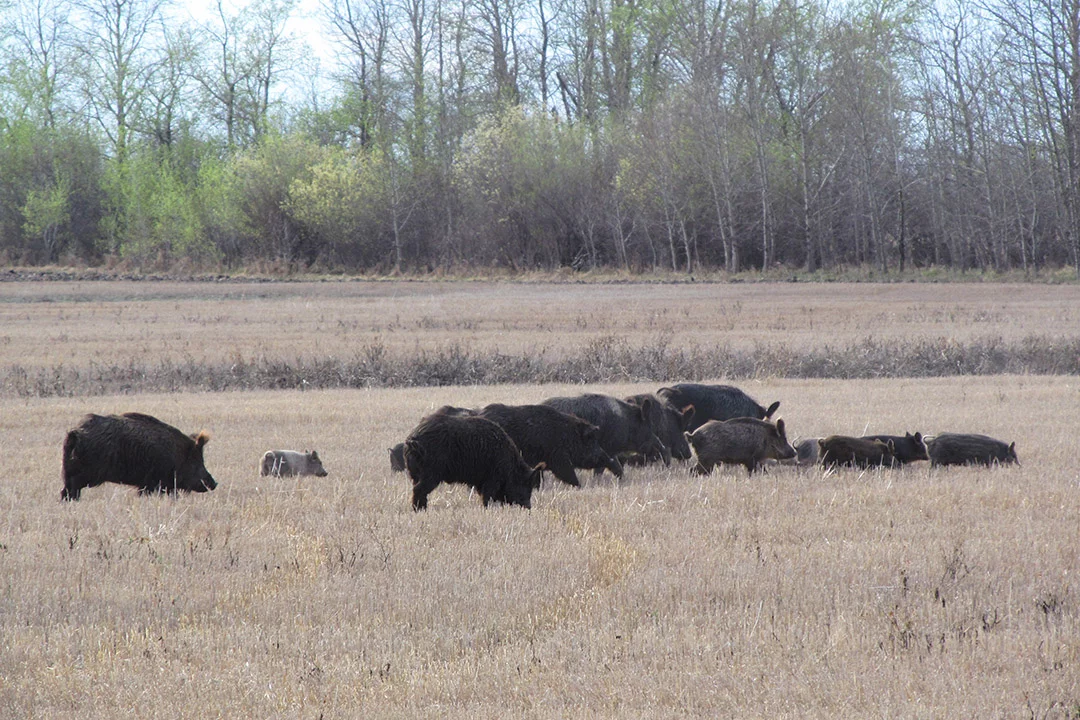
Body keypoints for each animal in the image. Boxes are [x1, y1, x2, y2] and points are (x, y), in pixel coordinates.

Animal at [61, 412, 217, 501]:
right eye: (195, 461)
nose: (214, 483)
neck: (176, 454)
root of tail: (75, 433)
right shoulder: (154, 482)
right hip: (85, 474)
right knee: (71, 491)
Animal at [403, 411, 544, 510]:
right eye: (525, 484)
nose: (529, 507)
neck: (509, 465)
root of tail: (412, 440)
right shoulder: (492, 479)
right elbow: (487, 497)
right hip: (431, 473)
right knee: (418, 490)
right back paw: (420, 510)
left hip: (415, 475)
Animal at [477, 403, 622, 486]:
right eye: (590, 440)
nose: (610, 459)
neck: (568, 436)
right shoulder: (559, 459)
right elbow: (569, 474)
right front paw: (579, 486)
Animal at [542, 393, 671, 474]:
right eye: (648, 427)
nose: (664, 449)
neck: (626, 423)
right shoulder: (607, 450)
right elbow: (604, 470)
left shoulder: (611, 452)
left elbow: (618, 469)